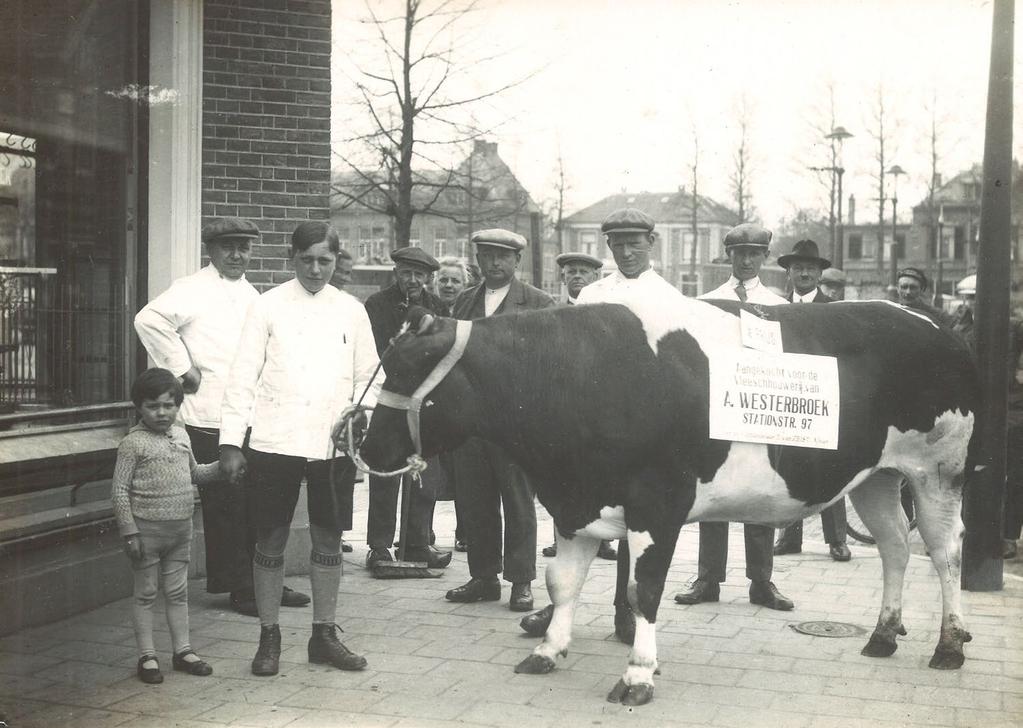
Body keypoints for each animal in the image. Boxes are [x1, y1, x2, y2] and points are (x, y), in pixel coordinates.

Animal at [358, 290, 973, 703]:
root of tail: (932, 322)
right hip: (877, 476)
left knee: (945, 553)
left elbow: (643, 589)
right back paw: (883, 636)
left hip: (939, 469)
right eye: (387, 363)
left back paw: (949, 646)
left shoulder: (658, 503)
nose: (367, 447)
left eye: (407, 370)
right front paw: (547, 651)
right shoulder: (575, 501)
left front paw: (637, 674)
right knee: (895, 548)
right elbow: (563, 582)